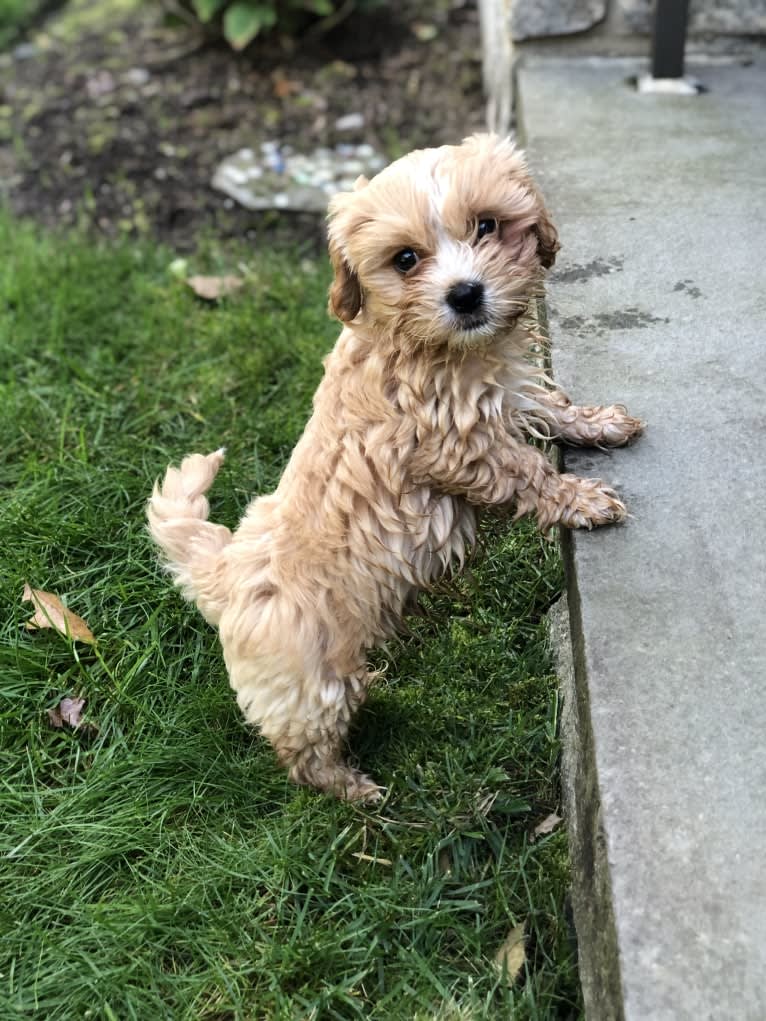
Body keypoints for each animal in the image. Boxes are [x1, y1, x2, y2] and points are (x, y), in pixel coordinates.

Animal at [147, 135, 645, 800]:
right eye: (405, 259)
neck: (433, 344)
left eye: (487, 225)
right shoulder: (456, 443)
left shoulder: (510, 395)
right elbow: (526, 472)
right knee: (302, 749)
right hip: (311, 680)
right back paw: (353, 790)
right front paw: (583, 500)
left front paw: (602, 424)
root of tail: (224, 574)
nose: (465, 294)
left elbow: (553, 406)